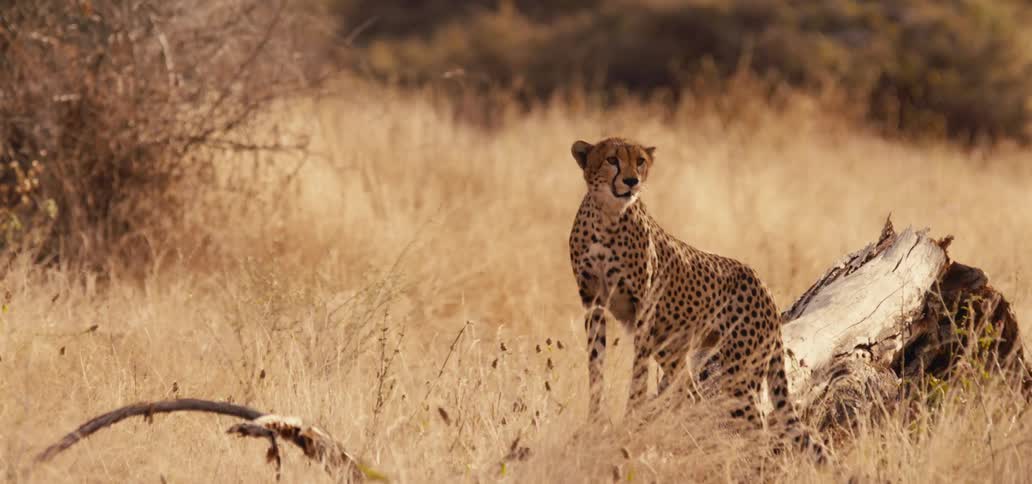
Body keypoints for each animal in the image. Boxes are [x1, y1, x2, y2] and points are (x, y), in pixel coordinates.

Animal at [567, 136, 824, 460]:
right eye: (612, 159)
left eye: (639, 161)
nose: (631, 181)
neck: (607, 216)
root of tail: (762, 283)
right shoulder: (593, 302)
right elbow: (595, 364)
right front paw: (595, 422)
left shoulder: (644, 306)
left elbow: (638, 370)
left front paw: (630, 418)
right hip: (676, 351)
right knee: (695, 394)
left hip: (739, 372)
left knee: (755, 425)